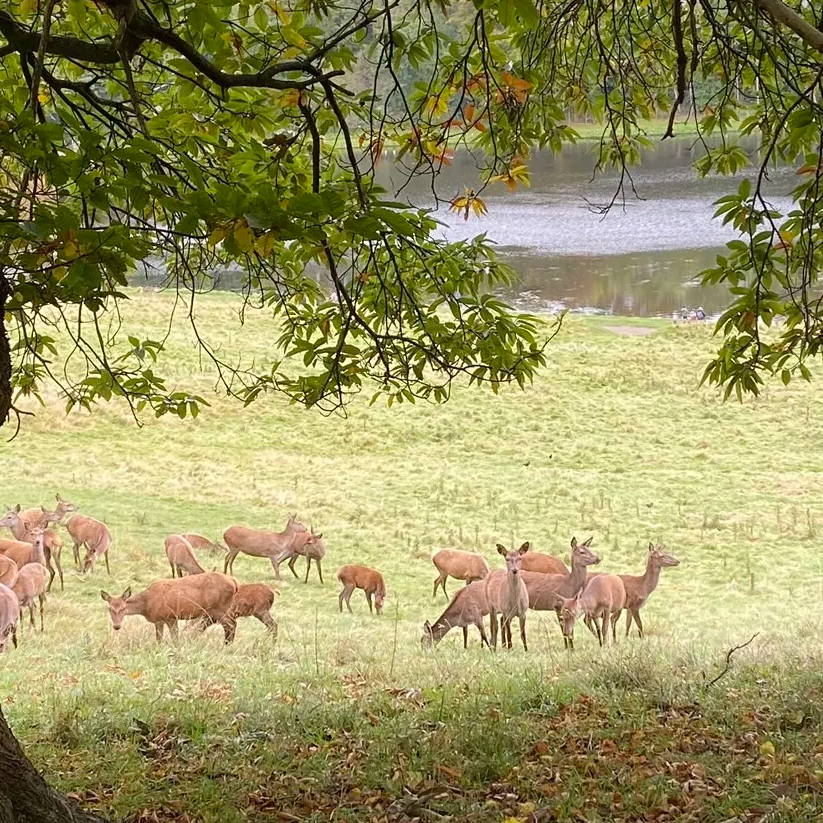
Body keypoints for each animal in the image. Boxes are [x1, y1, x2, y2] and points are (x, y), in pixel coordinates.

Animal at [101, 572, 238, 643]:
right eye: (110, 609)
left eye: (123, 608)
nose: (116, 626)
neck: (147, 605)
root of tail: (234, 582)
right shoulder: (158, 620)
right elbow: (159, 639)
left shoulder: (170, 616)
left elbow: (174, 638)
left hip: (219, 608)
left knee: (231, 624)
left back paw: (226, 645)